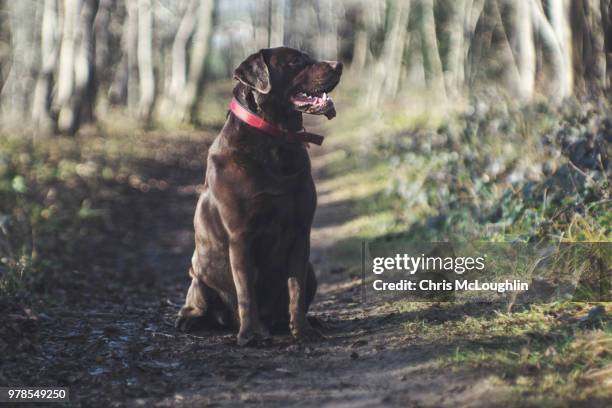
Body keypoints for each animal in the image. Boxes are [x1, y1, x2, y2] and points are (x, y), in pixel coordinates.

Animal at [175, 47, 342, 348]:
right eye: (296, 61)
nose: (339, 65)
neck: (276, 141)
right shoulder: (241, 236)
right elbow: (246, 291)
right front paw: (251, 335)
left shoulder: (300, 232)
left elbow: (295, 288)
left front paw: (302, 331)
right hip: (199, 275)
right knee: (200, 300)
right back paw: (194, 320)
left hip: (311, 270)